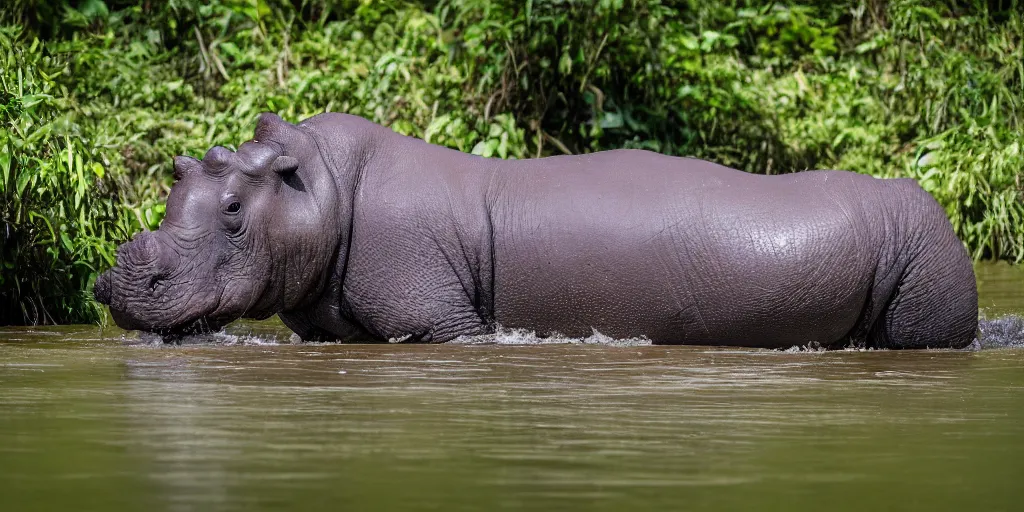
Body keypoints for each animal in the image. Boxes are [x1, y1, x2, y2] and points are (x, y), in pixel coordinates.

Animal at [94, 112, 974, 350]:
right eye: (177, 174)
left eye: (233, 209)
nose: (115, 282)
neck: (314, 185)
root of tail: (939, 207)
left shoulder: (438, 323)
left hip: (929, 256)